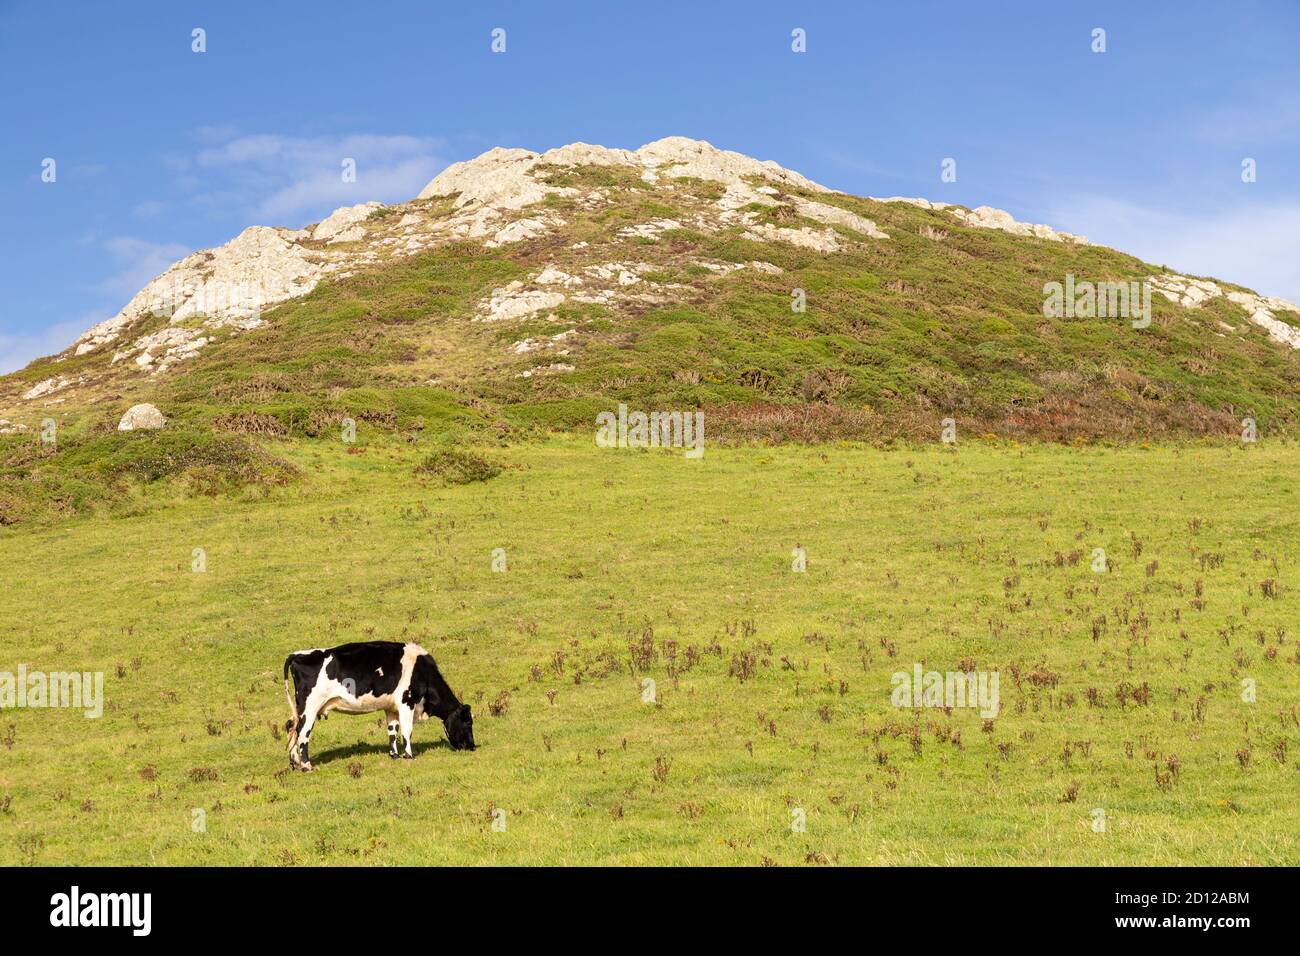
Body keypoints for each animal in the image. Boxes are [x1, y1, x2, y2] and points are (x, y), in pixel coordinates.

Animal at [283, 641, 475, 771]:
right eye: (468, 722)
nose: (472, 747)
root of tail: (297, 654)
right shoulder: (407, 701)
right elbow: (407, 730)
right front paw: (409, 756)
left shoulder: (391, 708)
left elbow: (392, 730)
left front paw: (395, 755)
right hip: (310, 707)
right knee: (302, 733)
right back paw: (307, 766)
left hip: (300, 708)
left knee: (292, 727)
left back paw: (295, 763)